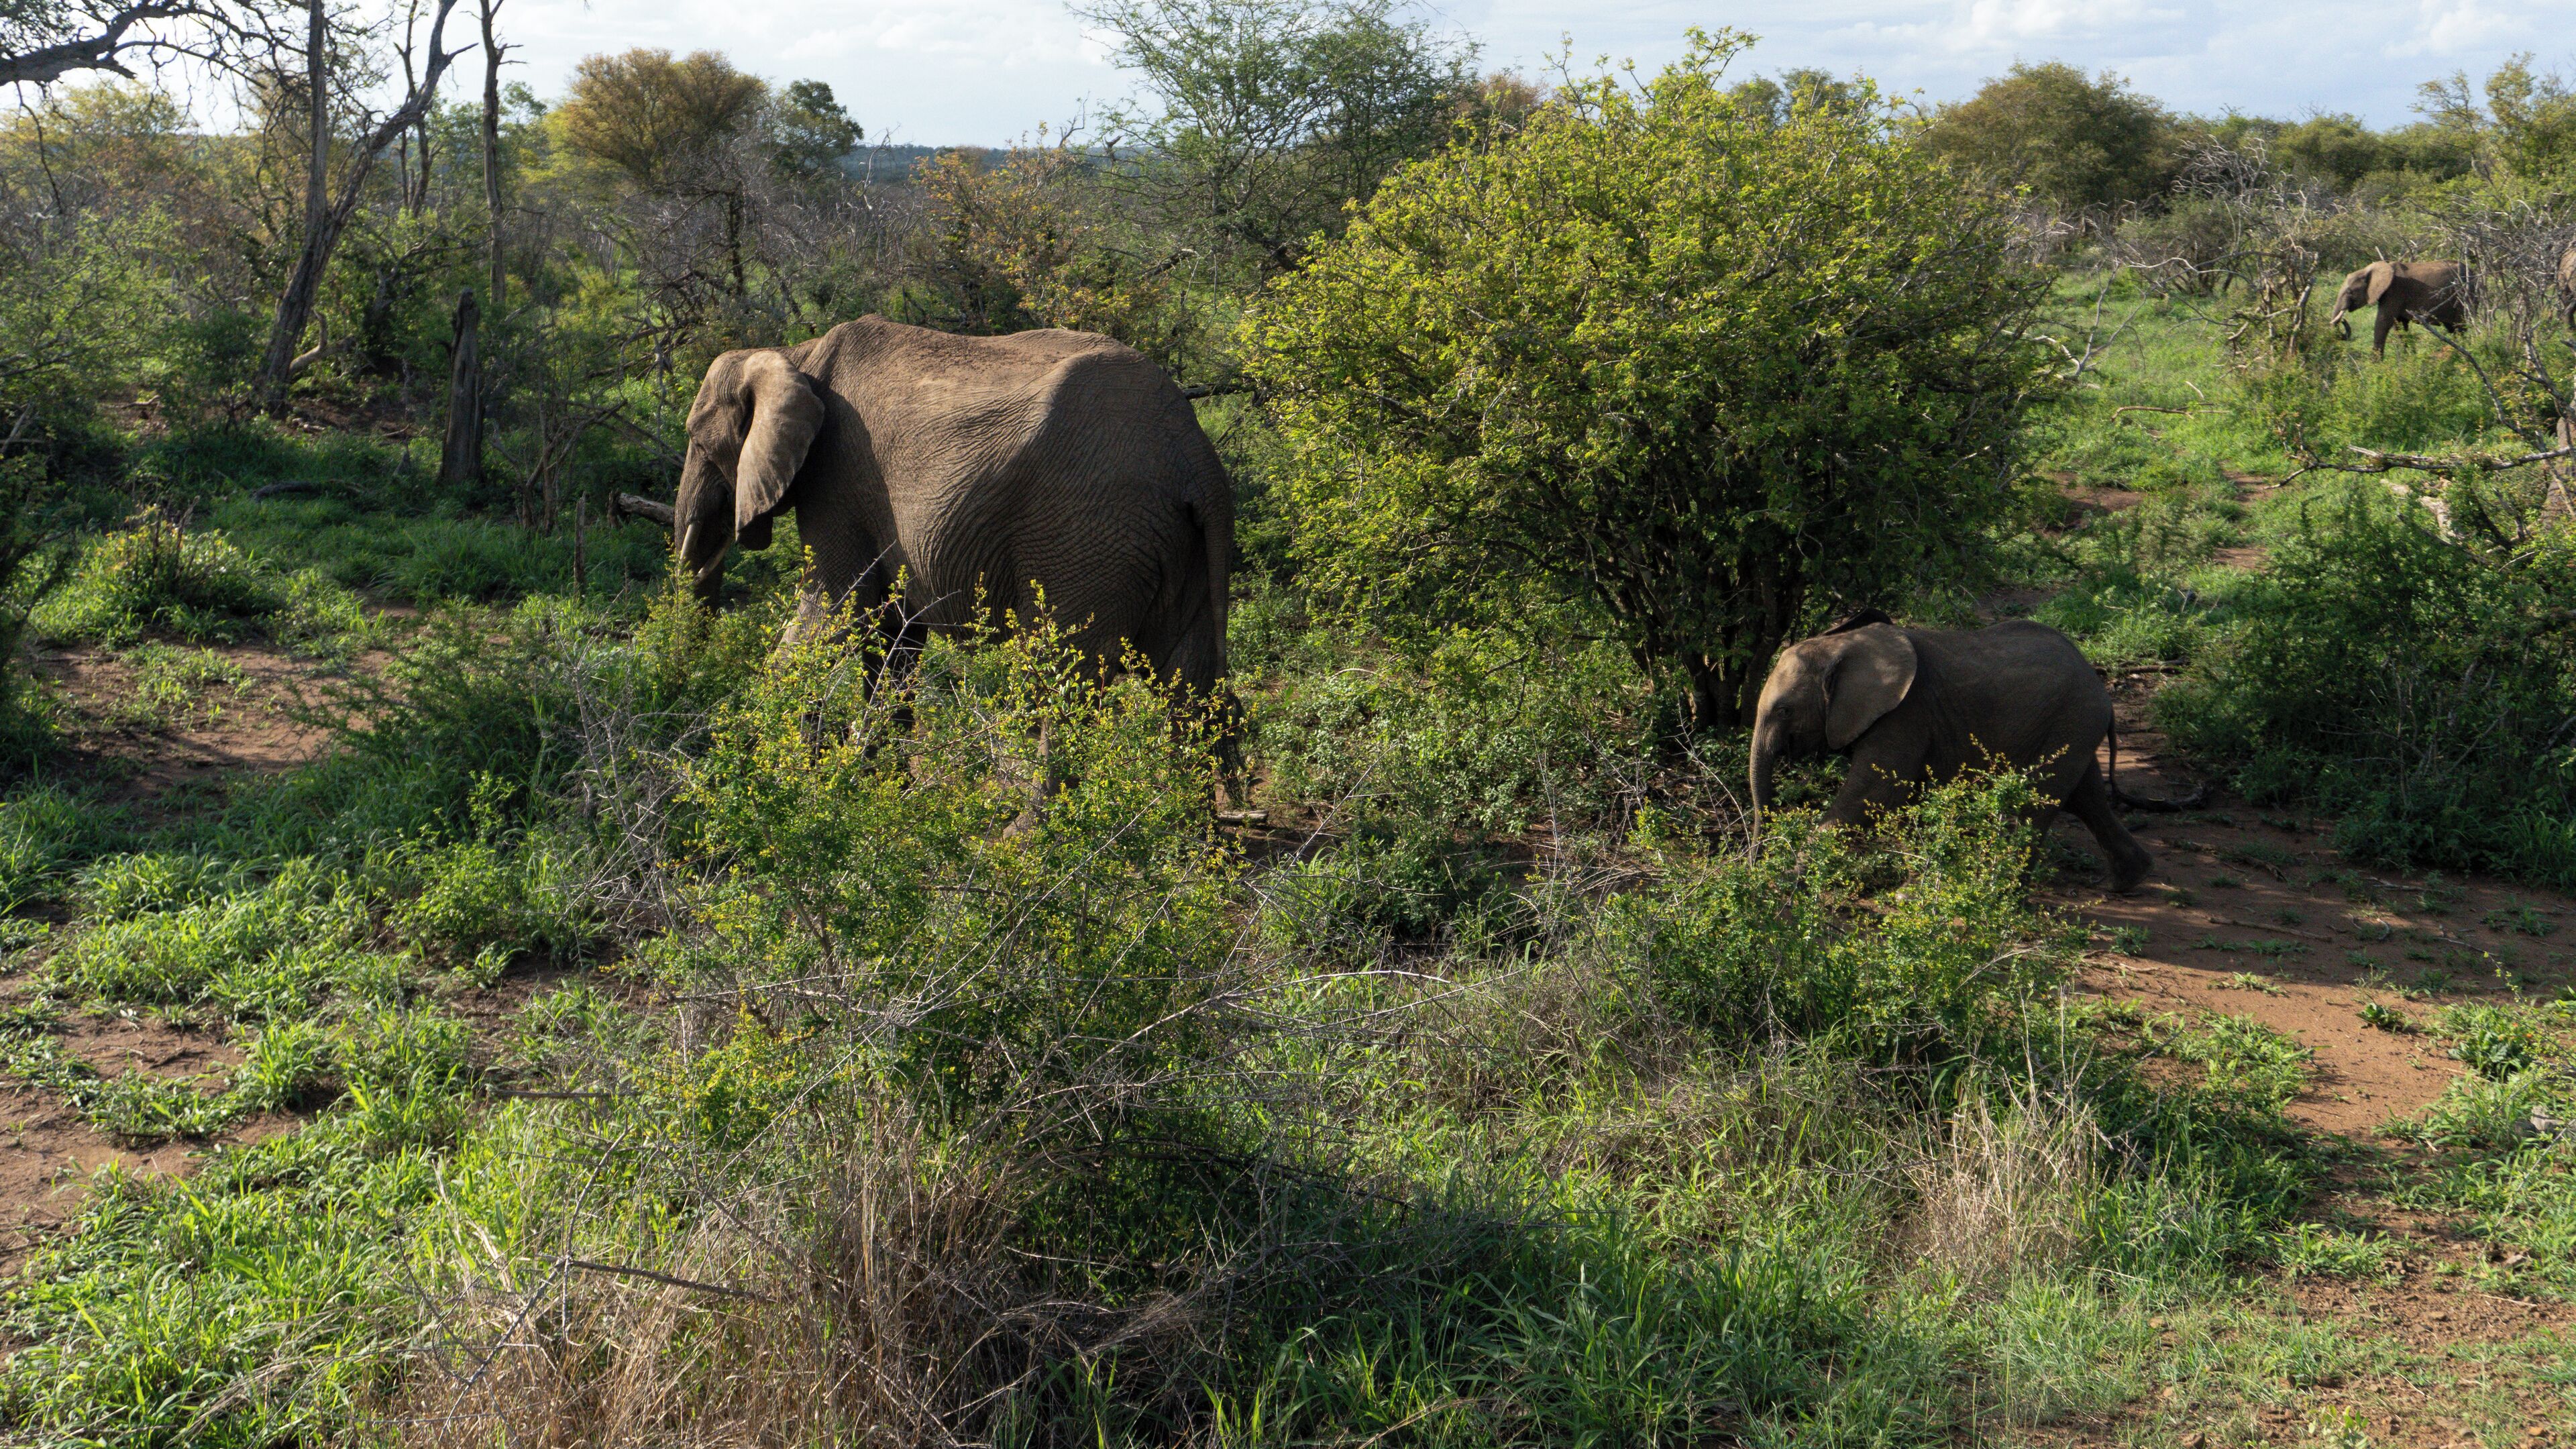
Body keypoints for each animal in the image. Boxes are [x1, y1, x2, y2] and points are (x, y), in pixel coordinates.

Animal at [672, 315, 1233, 700]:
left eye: (697, 439)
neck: (794, 357)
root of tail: (1196, 456)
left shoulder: (835, 481)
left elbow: (832, 612)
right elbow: (894, 637)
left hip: (1089, 535)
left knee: (1057, 684)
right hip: (1168, 538)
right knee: (1194, 687)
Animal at [1747, 614, 2153, 892]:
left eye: (1784, 711)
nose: (1753, 860)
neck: (1841, 645)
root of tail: (2100, 685)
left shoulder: (1906, 713)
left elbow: (1874, 793)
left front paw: (1785, 878)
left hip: (2071, 718)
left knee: (2039, 800)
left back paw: (2000, 893)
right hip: (2075, 725)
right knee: (2086, 797)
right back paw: (2127, 881)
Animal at [2328, 260, 2470, 356]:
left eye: (2349, 292)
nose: (2343, 319)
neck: (2369, 270)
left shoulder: (2395, 292)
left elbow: (2383, 323)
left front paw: (2375, 366)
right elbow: (2400, 326)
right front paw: (2409, 359)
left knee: (2461, 327)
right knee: (2453, 329)